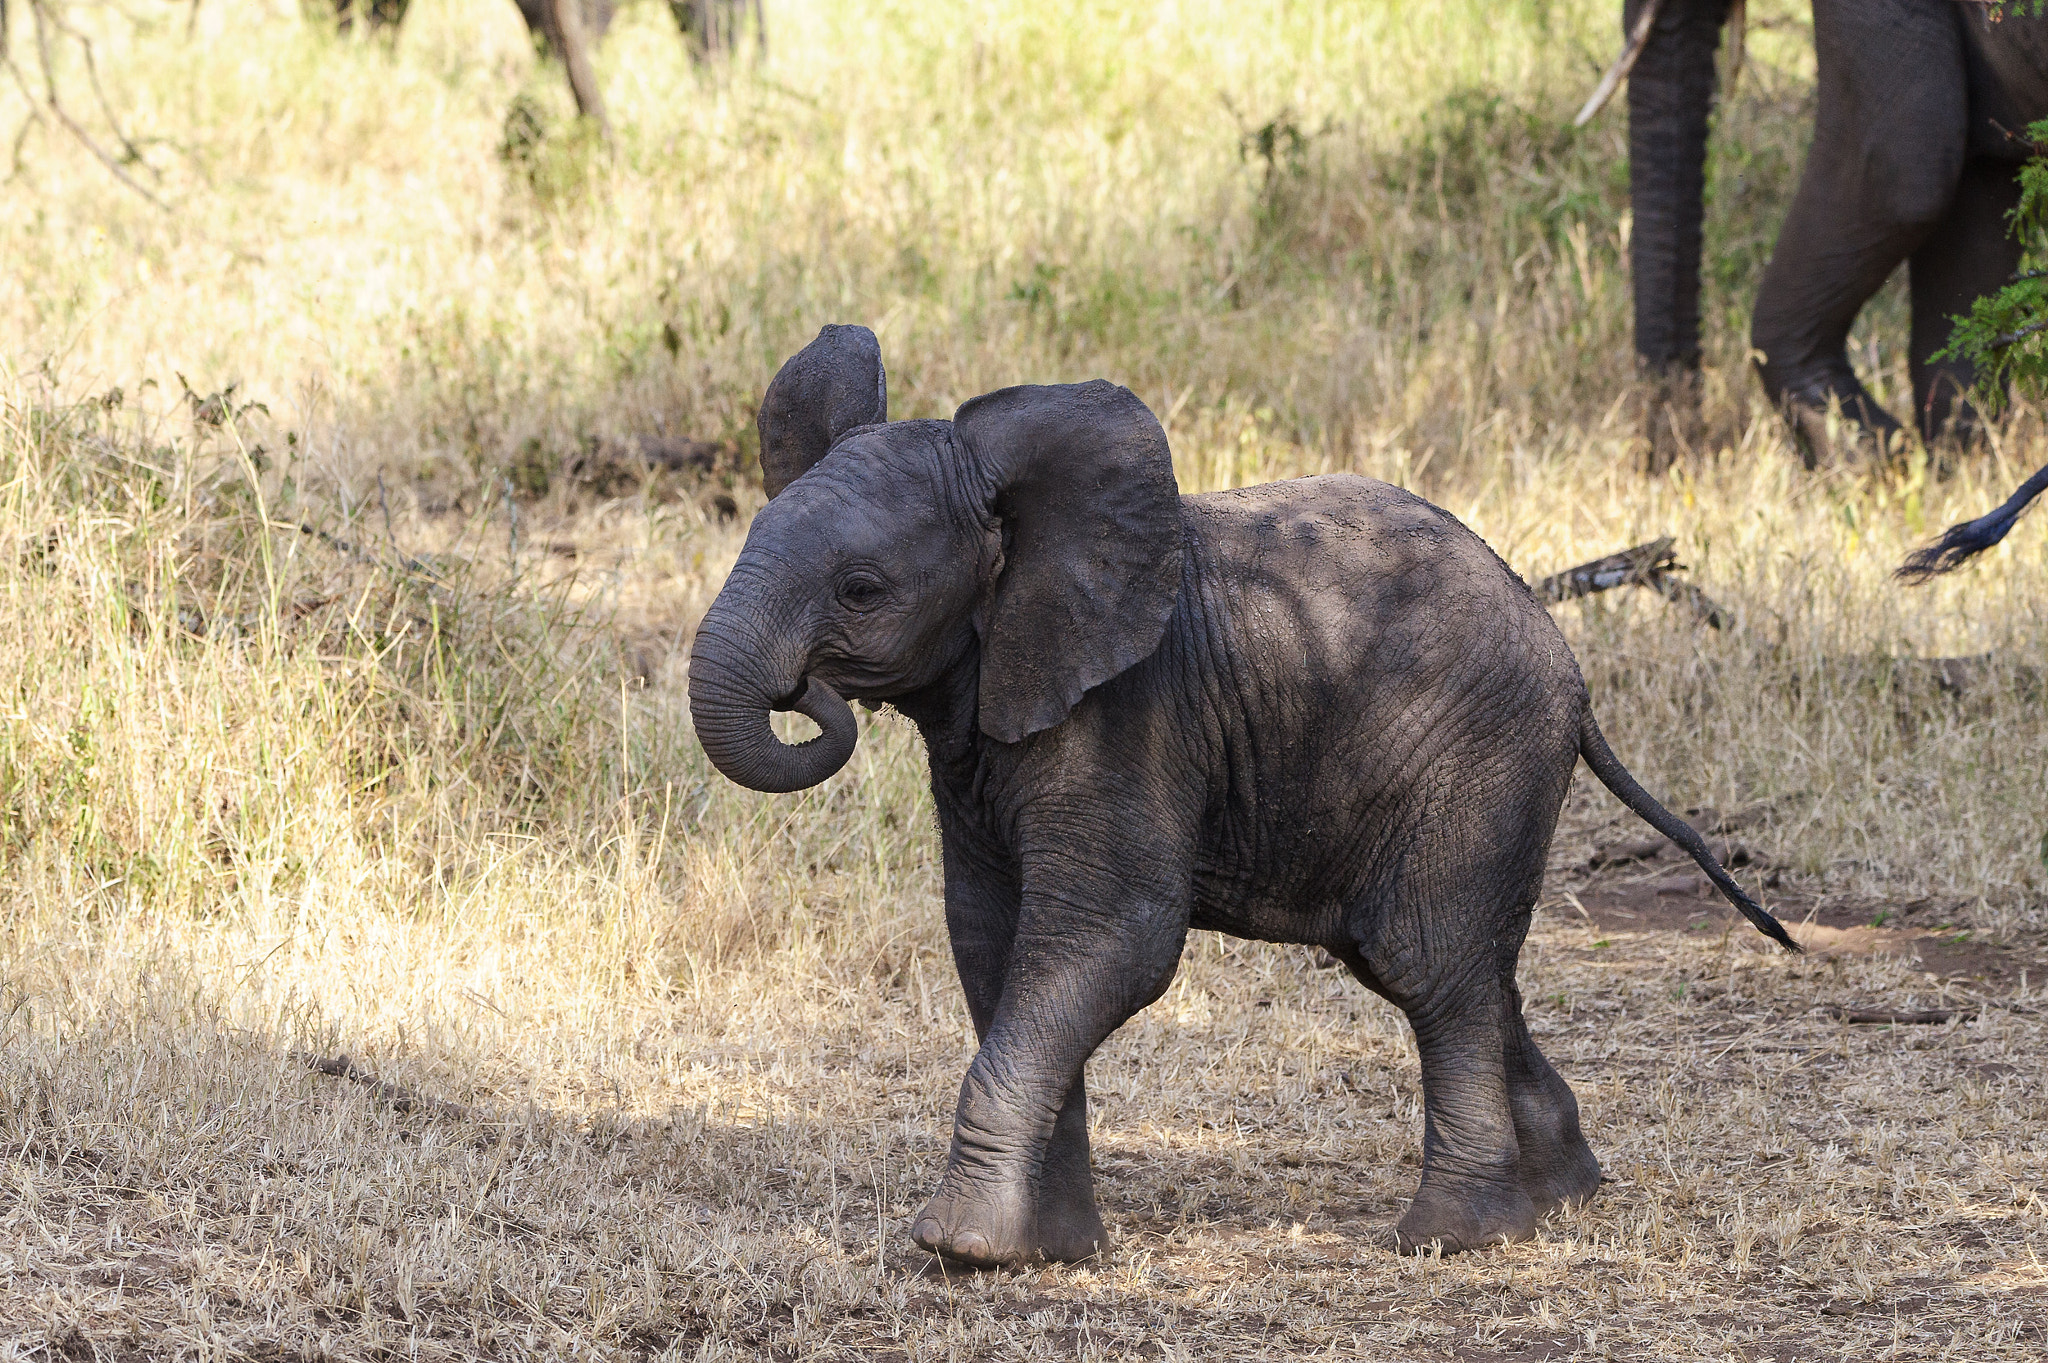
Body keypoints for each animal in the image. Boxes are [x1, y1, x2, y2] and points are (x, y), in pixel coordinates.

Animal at [688, 325, 1798, 1266]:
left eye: (860, 591)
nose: (807, 692)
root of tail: (1567, 662)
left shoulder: (1129, 715)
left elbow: (1112, 939)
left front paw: (958, 1249)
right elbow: (991, 941)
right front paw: (1048, 1254)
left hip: (1478, 754)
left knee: (1426, 956)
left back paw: (1450, 1238)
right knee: (1448, 962)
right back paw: (1563, 1198)